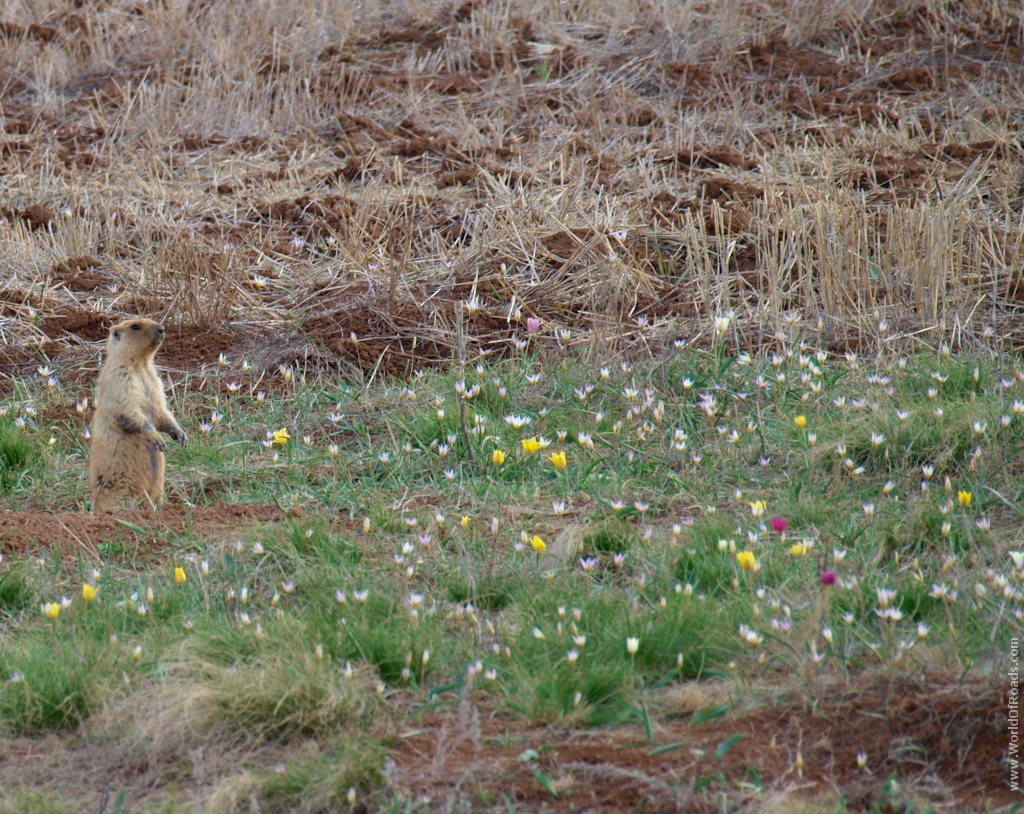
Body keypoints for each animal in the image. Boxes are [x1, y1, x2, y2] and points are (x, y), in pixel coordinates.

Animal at [88, 317, 188, 509]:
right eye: (135, 326)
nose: (162, 328)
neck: (141, 365)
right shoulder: (119, 377)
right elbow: (126, 407)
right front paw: (158, 439)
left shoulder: (156, 381)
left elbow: (162, 410)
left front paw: (181, 435)